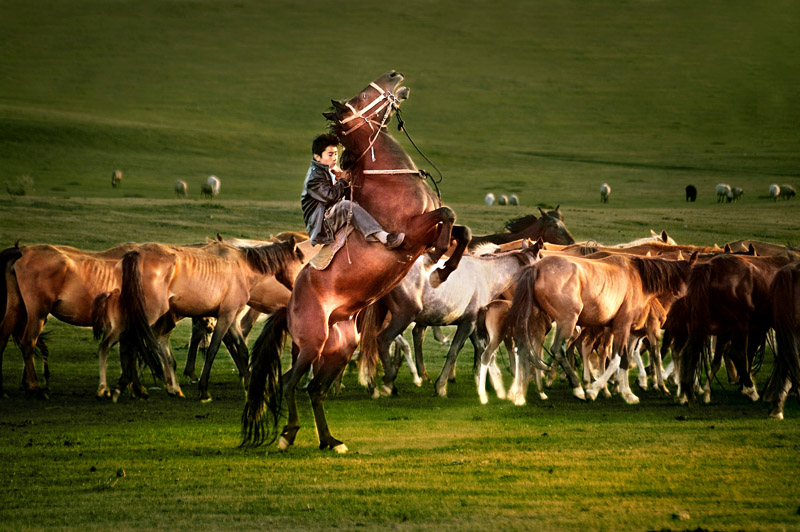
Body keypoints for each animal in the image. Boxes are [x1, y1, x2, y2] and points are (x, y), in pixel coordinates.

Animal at [241, 70, 472, 454]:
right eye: (363, 95)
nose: (395, 75)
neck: (390, 182)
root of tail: (288, 308)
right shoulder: (413, 232)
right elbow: (448, 215)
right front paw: (440, 261)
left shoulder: (425, 231)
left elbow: (461, 228)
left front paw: (445, 266)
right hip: (313, 343)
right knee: (290, 382)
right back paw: (289, 435)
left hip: (339, 348)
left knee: (313, 388)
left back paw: (330, 440)